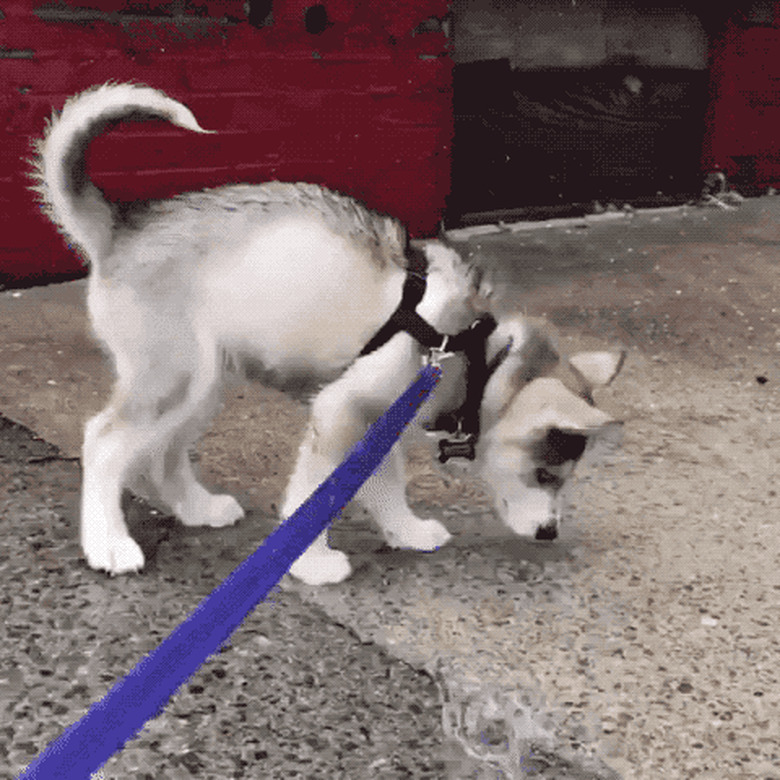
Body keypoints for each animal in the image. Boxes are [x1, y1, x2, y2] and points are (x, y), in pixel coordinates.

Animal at [33, 85, 624, 584]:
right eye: (546, 475)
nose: (549, 533)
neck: (470, 349)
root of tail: (121, 228)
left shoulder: (374, 422)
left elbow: (383, 485)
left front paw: (406, 531)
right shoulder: (341, 410)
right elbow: (316, 494)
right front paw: (311, 563)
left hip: (204, 381)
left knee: (163, 452)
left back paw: (198, 509)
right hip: (175, 377)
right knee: (104, 441)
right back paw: (108, 544)